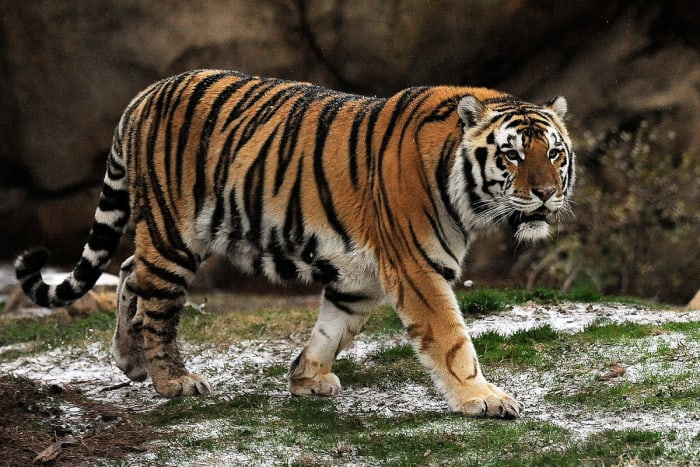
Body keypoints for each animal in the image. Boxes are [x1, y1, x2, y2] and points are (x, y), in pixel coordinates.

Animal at [15, 69, 574, 419]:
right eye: (512, 155)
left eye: (554, 154)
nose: (546, 193)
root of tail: (142, 95)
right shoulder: (417, 268)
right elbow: (453, 339)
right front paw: (484, 398)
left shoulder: (359, 278)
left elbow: (333, 329)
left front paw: (306, 378)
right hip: (175, 233)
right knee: (157, 301)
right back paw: (172, 380)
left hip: (178, 233)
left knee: (131, 269)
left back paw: (130, 361)